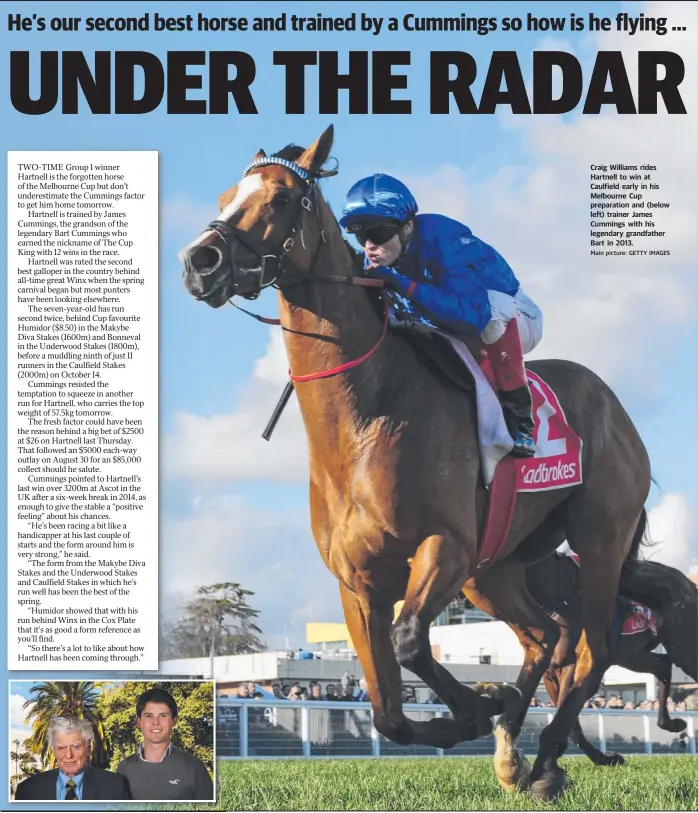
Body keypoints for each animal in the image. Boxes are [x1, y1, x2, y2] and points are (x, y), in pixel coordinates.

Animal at [178, 123, 648, 796]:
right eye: (224, 195)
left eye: (280, 197)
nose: (200, 262)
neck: (364, 422)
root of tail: (615, 407)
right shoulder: (358, 584)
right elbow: (387, 711)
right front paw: (483, 713)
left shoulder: (443, 547)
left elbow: (409, 645)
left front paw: (481, 705)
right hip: (495, 567)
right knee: (546, 637)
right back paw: (523, 756)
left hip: (598, 537)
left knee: (592, 651)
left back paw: (547, 755)